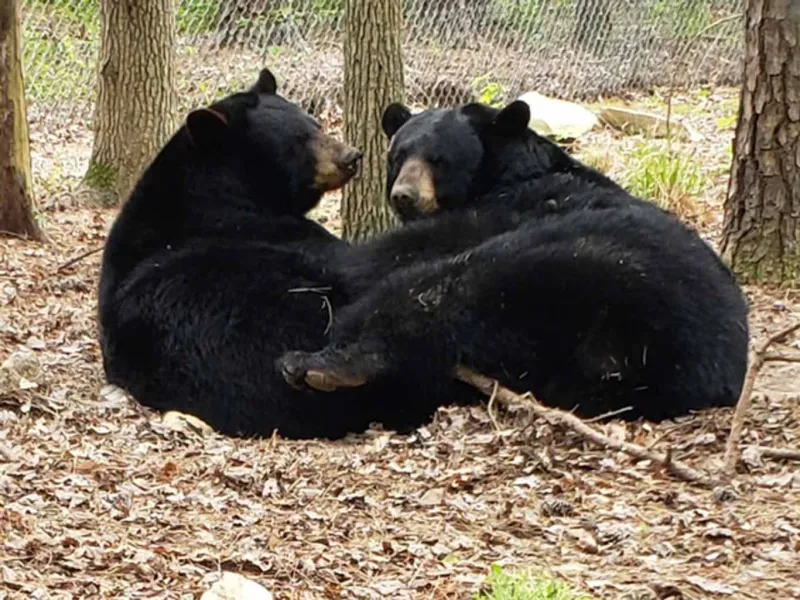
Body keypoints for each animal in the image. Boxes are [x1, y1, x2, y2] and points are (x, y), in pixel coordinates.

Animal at [276, 99, 750, 423]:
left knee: (430, 296)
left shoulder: (497, 212)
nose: (404, 196)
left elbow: (385, 254)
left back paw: (319, 363)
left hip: (567, 273)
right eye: (398, 155)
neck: (505, 173)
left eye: (438, 159)